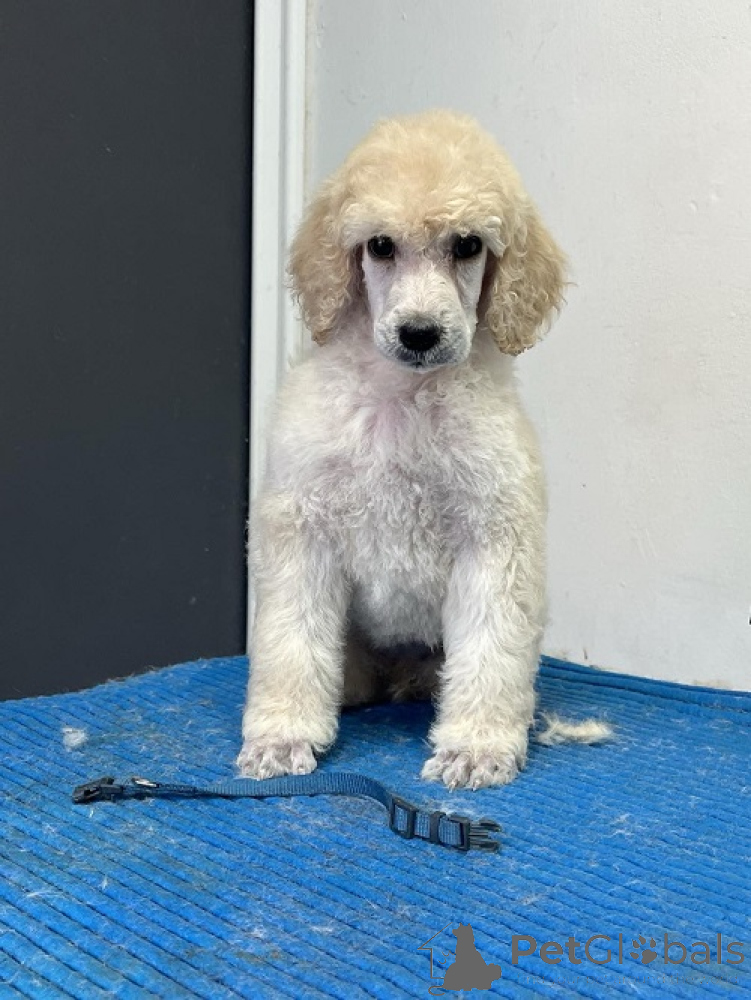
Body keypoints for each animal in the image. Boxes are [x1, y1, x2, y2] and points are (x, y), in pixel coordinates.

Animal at [238, 110, 566, 790]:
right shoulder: (301, 531)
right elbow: (290, 641)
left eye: (467, 245)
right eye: (380, 246)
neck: (403, 399)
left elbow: (492, 647)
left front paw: (475, 747)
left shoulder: (494, 539)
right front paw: (281, 735)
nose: (420, 333)